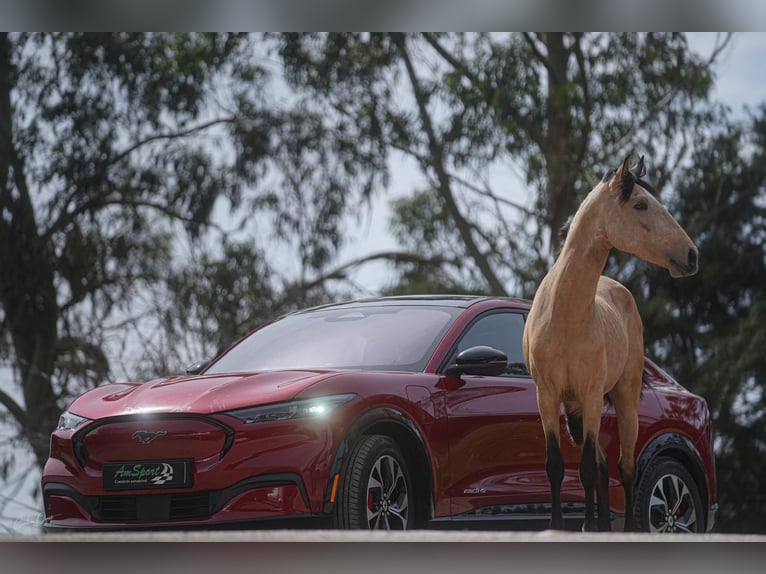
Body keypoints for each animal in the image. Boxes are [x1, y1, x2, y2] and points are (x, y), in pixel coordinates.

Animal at [524, 155, 700, 532]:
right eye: (641, 204)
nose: (692, 255)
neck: (566, 316)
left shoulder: (592, 395)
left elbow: (587, 468)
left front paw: (589, 528)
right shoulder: (547, 396)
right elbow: (557, 465)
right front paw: (559, 525)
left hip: (623, 400)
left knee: (624, 467)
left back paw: (628, 528)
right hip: (576, 410)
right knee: (604, 466)